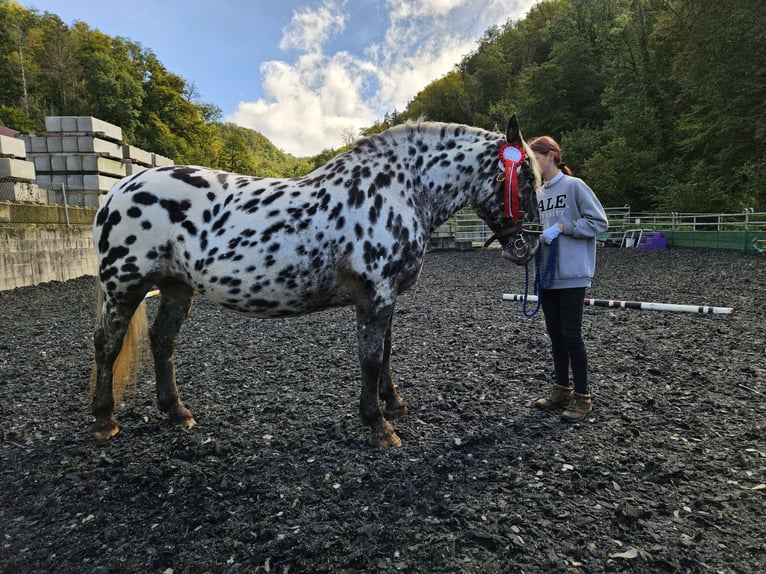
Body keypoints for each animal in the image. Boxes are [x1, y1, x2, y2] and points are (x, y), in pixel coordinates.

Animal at [90, 115, 544, 448]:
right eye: (526, 179)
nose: (530, 246)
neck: (398, 191)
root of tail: (117, 191)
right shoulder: (375, 296)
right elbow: (371, 358)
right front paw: (378, 426)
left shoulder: (387, 298)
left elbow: (386, 353)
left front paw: (393, 404)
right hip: (124, 287)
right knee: (107, 346)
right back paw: (103, 420)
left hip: (175, 288)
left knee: (162, 342)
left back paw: (177, 412)